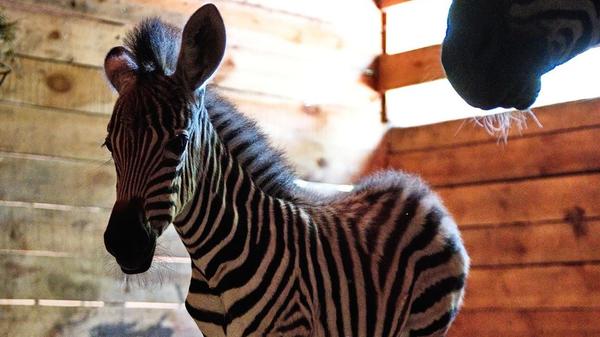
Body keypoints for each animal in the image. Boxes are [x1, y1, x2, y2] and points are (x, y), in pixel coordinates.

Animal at [102, 4, 468, 336]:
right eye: (109, 145)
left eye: (179, 143)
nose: (123, 243)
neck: (212, 263)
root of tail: (415, 187)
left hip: (424, 322)